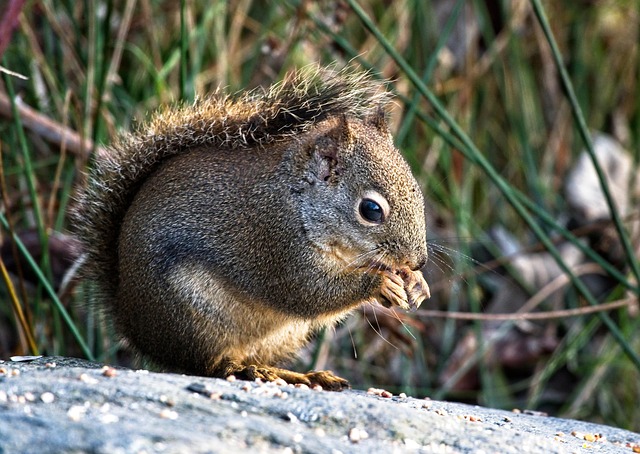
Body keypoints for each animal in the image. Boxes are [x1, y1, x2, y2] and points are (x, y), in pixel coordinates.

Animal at [74, 66, 430, 390]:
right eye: (371, 210)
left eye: (418, 191)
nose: (418, 261)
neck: (298, 200)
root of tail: (132, 322)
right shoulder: (276, 241)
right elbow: (309, 294)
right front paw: (381, 284)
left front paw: (416, 283)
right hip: (196, 317)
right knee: (210, 365)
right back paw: (250, 371)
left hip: (281, 335)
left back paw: (300, 375)